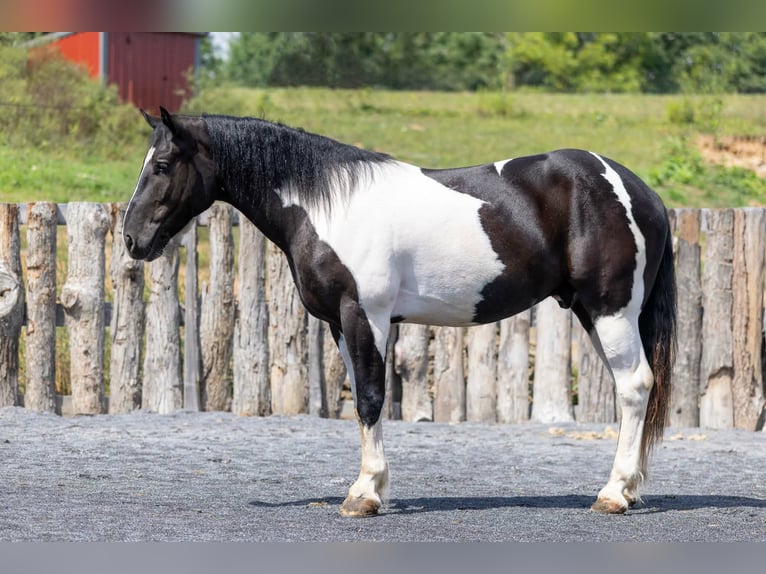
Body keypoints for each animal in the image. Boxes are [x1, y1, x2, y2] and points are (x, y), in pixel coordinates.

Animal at [123, 107, 676, 517]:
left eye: (162, 165)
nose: (132, 240)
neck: (327, 206)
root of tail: (638, 189)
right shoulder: (340, 325)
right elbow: (361, 400)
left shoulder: (363, 314)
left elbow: (370, 398)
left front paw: (365, 494)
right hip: (593, 313)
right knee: (632, 388)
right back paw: (627, 490)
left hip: (610, 310)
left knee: (634, 386)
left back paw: (613, 494)